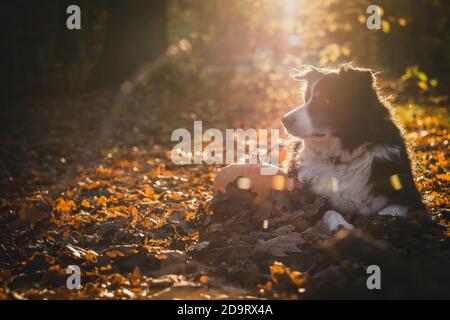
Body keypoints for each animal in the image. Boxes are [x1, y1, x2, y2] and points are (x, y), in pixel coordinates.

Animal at [284, 65, 424, 231]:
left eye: (325, 99)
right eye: (306, 98)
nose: (284, 120)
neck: (342, 157)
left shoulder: (410, 194)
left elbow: (391, 211)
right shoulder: (309, 200)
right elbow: (329, 211)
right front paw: (342, 226)